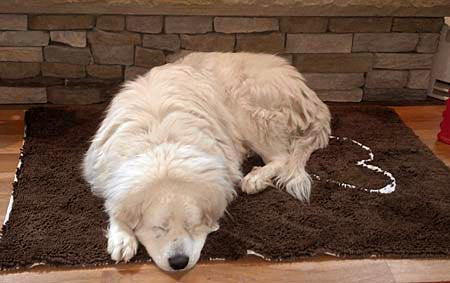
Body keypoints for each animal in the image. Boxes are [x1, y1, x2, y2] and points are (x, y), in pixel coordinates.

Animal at [83, 51, 330, 272]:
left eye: (192, 226)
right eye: (159, 228)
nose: (179, 262)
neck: (164, 148)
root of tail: (309, 92)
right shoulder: (102, 170)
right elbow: (114, 205)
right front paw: (122, 238)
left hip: (248, 111)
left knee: (282, 157)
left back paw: (255, 178)